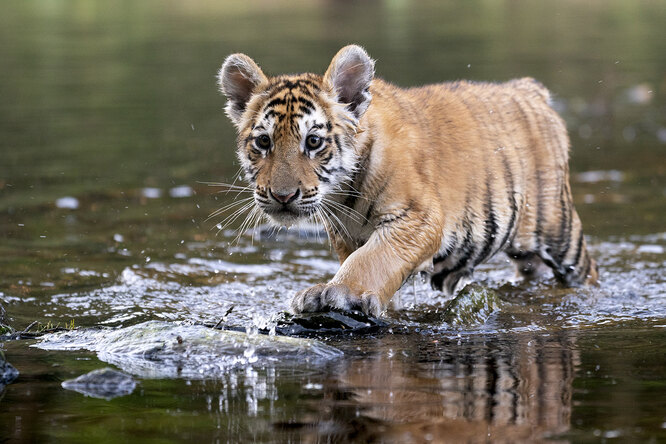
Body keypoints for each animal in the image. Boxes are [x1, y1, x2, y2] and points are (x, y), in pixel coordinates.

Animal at [218, 44, 596, 316]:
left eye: (313, 142)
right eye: (263, 142)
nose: (282, 196)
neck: (341, 196)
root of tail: (528, 88)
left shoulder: (419, 219)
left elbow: (372, 259)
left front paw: (334, 292)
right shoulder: (345, 236)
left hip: (559, 230)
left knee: (586, 270)